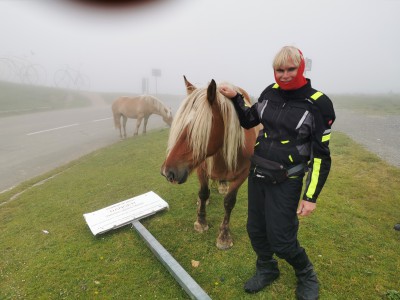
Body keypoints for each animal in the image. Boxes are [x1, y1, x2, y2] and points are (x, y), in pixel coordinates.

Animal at [160, 76, 260, 250]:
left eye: (196, 131)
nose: (168, 172)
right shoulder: (201, 168)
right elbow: (203, 192)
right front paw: (201, 221)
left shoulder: (243, 174)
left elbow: (229, 202)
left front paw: (224, 236)